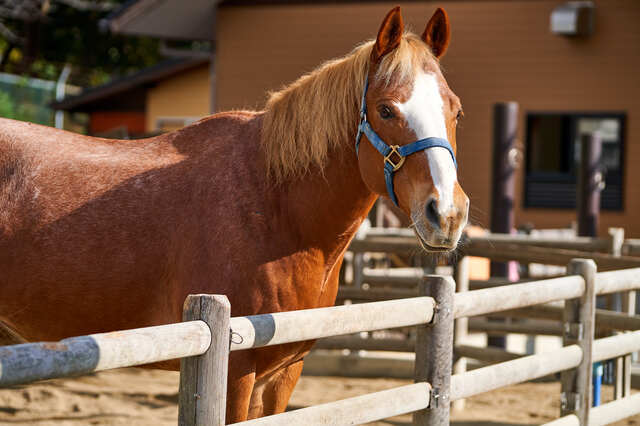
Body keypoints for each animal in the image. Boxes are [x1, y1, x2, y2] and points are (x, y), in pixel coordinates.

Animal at [1, 6, 470, 422]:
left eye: (456, 110)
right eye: (387, 109)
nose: (447, 213)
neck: (275, 205)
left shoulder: (282, 374)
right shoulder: (236, 372)